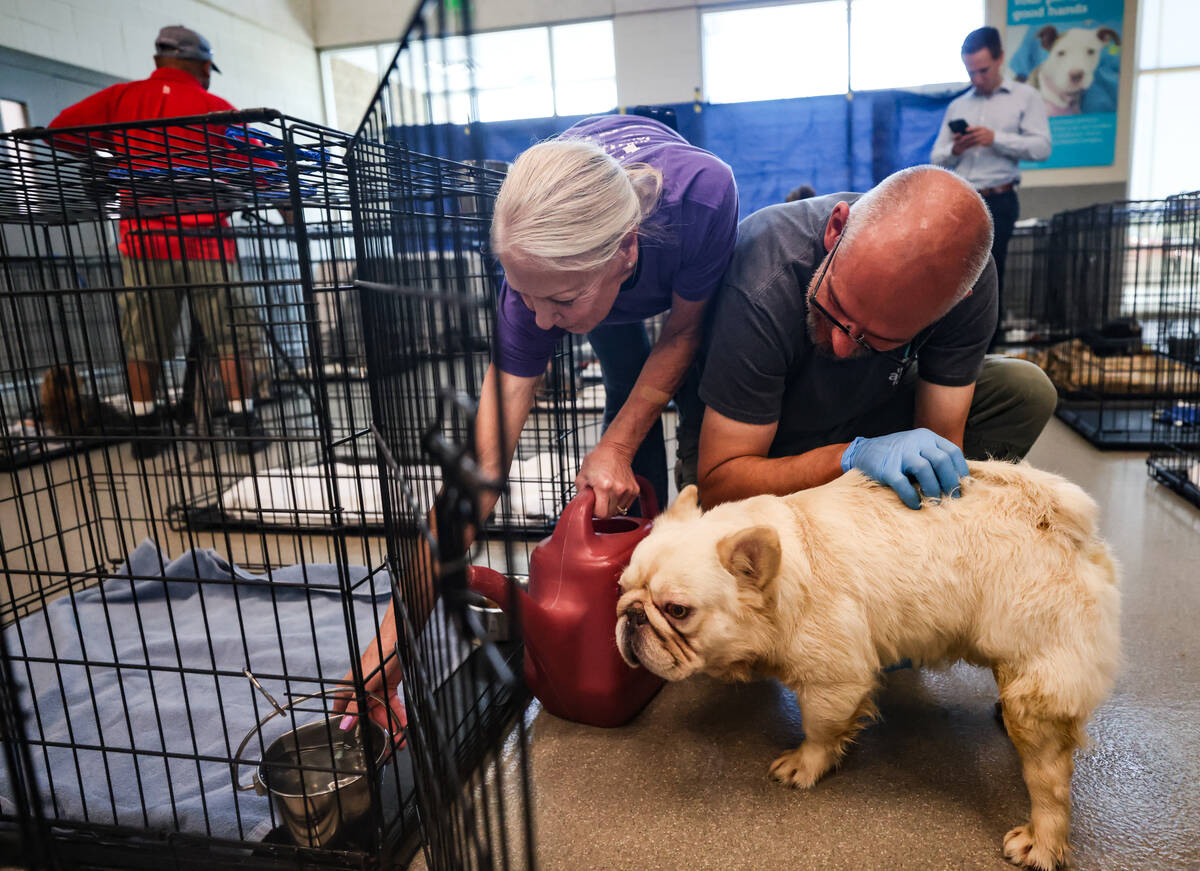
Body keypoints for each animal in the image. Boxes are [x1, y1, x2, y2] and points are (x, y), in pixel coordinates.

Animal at [614, 460, 1118, 868]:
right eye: (622, 587)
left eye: (677, 610)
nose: (632, 615)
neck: (781, 581)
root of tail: (1060, 521)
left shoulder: (833, 681)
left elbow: (819, 730)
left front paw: (805, 765)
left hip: (1035, 695)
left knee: (1050, 782)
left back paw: (1041, 844)